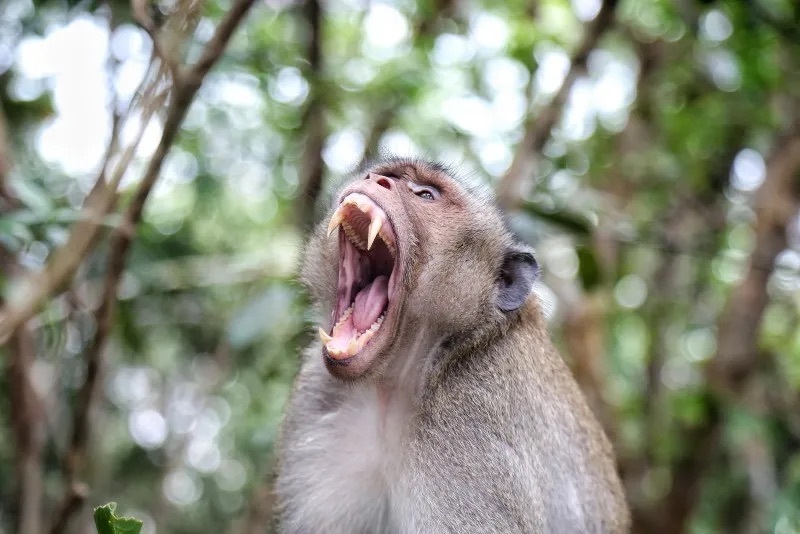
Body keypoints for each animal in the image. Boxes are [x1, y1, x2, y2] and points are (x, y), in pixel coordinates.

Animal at [276, 160, 632, 534]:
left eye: (425, 194)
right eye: (382, 174)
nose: (377, 179)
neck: (396, 384)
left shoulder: (471, 423)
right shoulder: (316, 396)